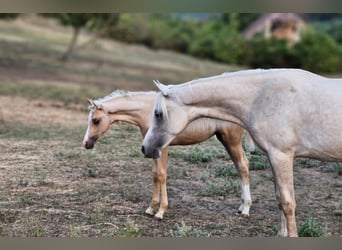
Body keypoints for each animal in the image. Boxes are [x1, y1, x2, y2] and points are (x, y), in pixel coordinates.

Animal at [83, 91, 254, 220]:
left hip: (232, 141)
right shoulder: (150, 148)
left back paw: (246, 209)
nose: (86, 143)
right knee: (239, 166)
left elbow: (162, 174)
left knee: (243, 165)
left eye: (96, 120)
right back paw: (241, 207)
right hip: (226, 140)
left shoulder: (162, 148)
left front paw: (160, 211)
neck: (148, 111)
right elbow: (154, 174)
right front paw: (151, 208)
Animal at [141, 68, 342, 236]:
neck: (262, 97)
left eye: (158, 114)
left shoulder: (281, 156)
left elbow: (287, 203)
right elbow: (279, 199)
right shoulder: (273, 157)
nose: (145, 148)